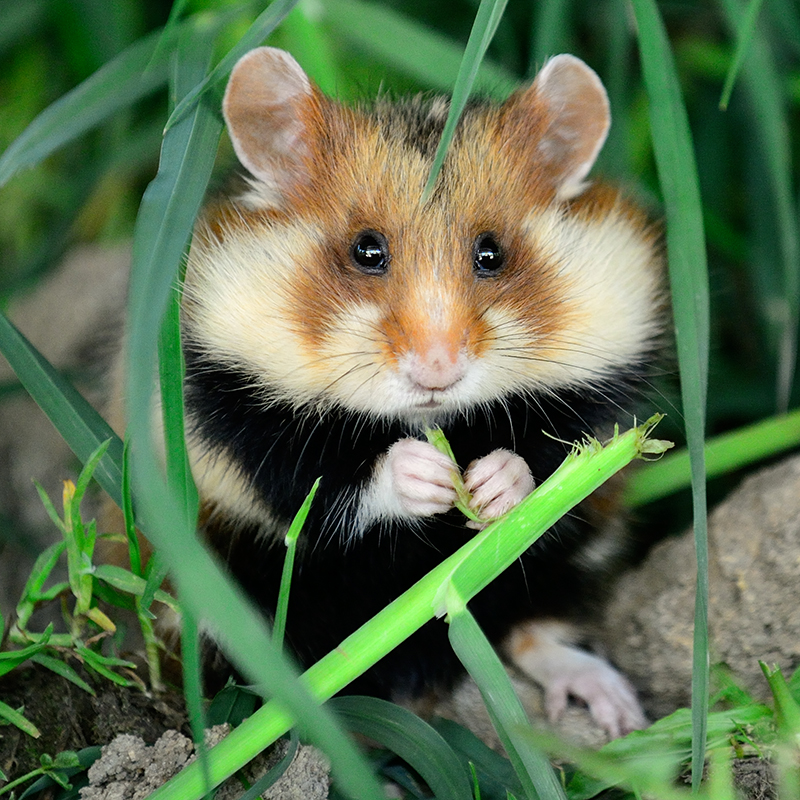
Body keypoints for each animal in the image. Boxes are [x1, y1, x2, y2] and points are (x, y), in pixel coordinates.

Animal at [180, 47, 664, 736]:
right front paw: (426, 475)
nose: (437, 372)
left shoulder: (598, 396)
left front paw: (490, 484)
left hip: (564, 563)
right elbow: (317, 484)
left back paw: (617, 711)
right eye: (367, 250)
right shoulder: (237, 412)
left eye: (491, 253)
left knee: (530, 626)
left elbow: (555, 460)